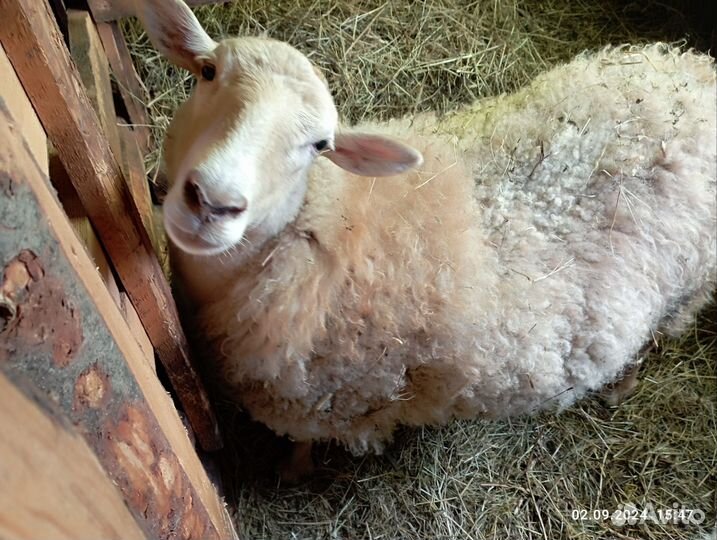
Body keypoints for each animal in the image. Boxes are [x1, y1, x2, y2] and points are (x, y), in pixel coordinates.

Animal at [137, 0, 716, 474]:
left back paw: (620, 388)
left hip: (685, 289)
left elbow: (307, 443)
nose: (212, 201)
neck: (327, 224)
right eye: (208, 72)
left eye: (319, 145)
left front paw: (293, 471)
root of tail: (698, 70)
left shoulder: (327, 406)